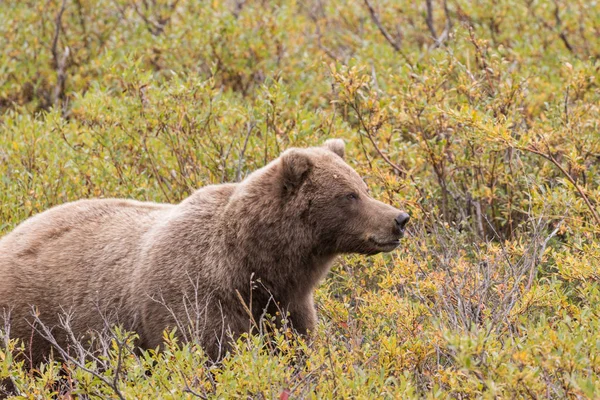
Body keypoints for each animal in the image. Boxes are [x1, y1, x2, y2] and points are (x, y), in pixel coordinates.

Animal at [0, 139, 408, 364]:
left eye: (363, 186)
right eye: (349, 195)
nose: (399, 219)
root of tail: (11, 234)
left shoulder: (285, 307)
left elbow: (294, 350)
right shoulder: (194, 299)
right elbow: (208, 353)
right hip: (29, 323)